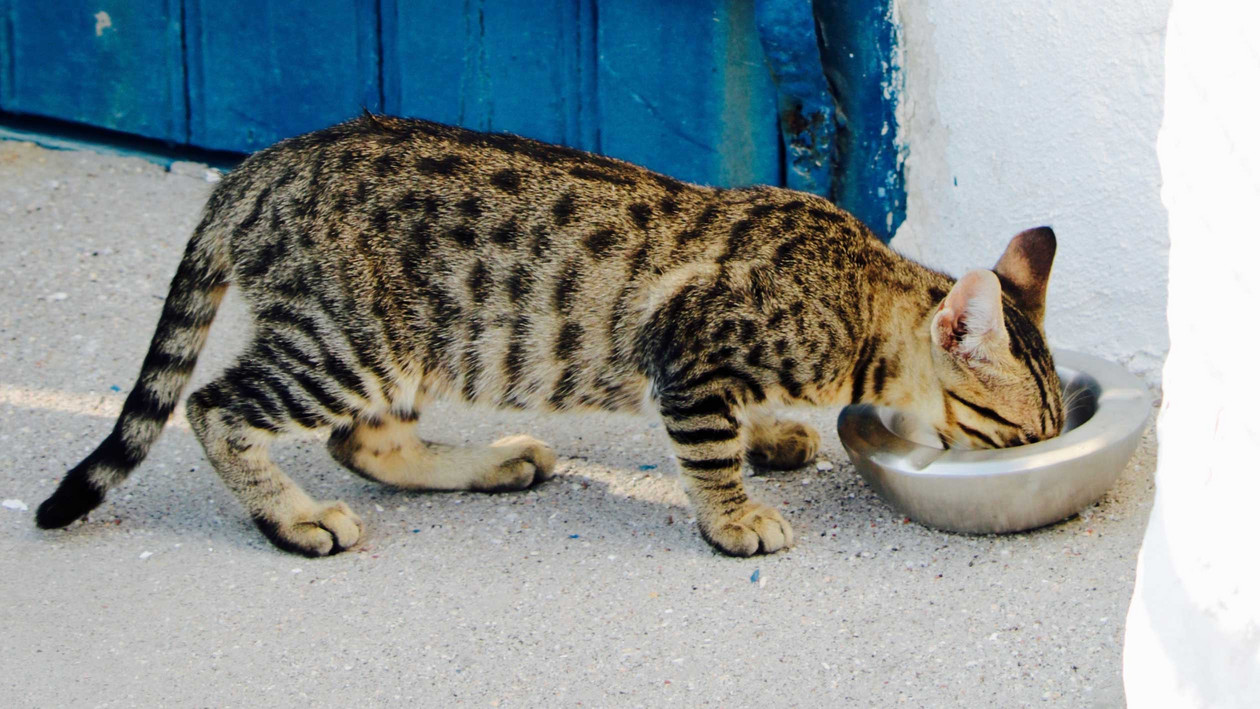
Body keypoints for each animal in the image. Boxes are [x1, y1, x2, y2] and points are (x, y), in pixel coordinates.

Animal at [34, 115, 1063, 561]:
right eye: (1019, 435)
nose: (1039, 454)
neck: (858, 289)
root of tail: (254, 170)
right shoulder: (685, 349)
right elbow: (705, 447)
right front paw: (735, 515)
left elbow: (737, 423)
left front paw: (772, 434)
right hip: (345, 342)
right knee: (217, 406)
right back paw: (292, 517)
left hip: (405, 347)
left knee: (364, 440)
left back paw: (490, 461)